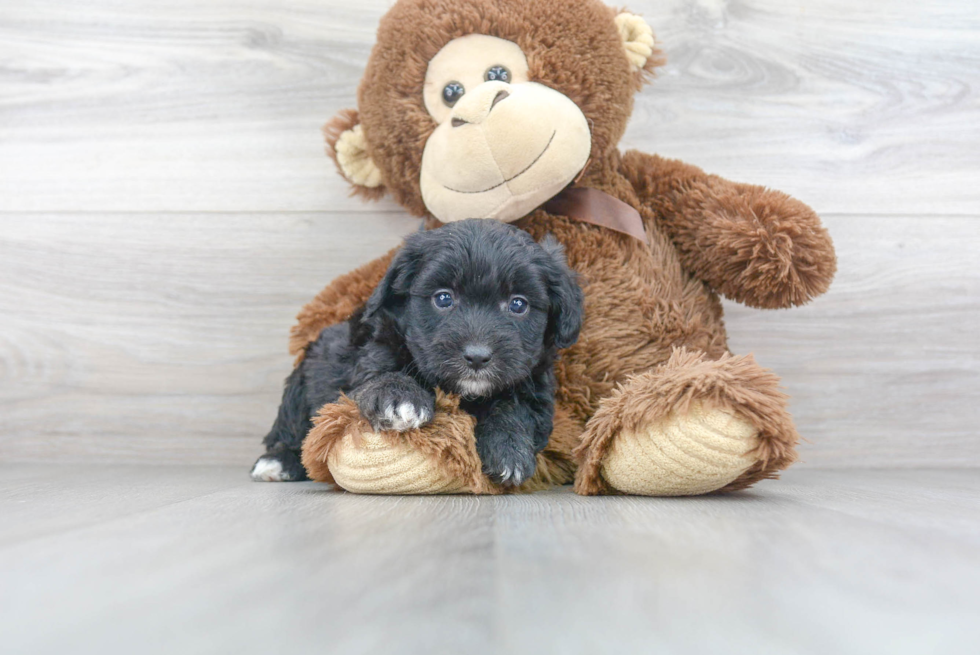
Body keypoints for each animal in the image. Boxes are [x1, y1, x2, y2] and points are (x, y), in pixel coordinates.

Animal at [253, 219, 584, 486]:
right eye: (443, 298)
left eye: (518, 304)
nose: (477, 356)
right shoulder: (368, 360)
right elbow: (382, 375)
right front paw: (401, 398)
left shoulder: (535, 385)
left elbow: (514, 407)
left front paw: (509, 449)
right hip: (302, 382)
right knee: (291, 430)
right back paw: (279, 461)